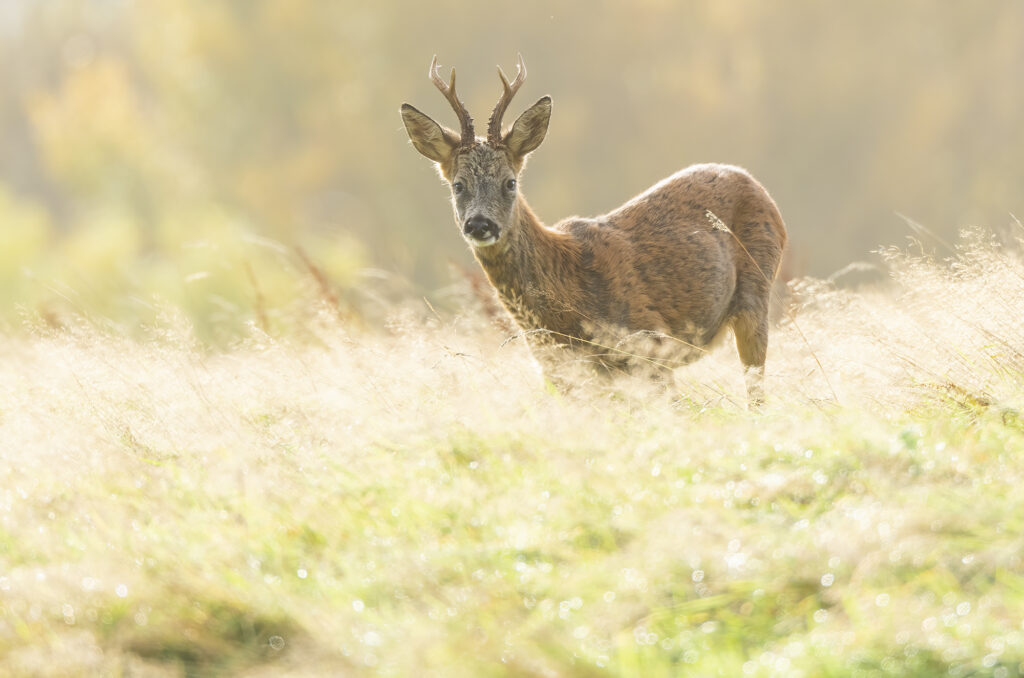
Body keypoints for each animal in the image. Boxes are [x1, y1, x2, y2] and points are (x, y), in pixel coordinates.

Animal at [399, 55, 782, 405]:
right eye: (458, 185)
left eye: (510, 183)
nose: (480, 224)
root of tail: (756, 184)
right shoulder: (560, 373)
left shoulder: (651, 345)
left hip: (756, 295)